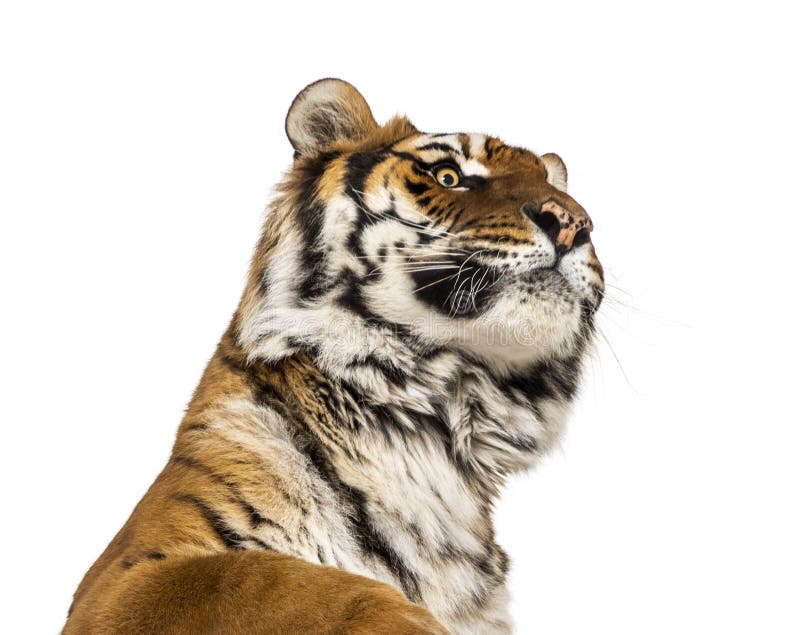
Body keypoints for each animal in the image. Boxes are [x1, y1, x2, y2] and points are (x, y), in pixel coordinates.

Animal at [65, 77, 604, 632]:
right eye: (448, 176)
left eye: (559, 190)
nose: (574, 221)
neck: (433, 424)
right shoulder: (124, 580)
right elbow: (264, 578)